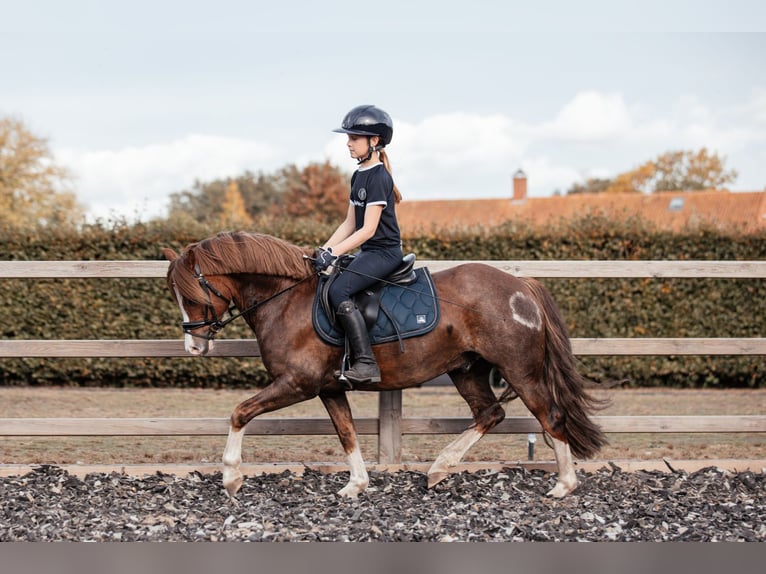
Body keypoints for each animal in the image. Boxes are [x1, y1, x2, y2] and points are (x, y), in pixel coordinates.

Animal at [165, 232, 608, 502]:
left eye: (192, 293)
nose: (194, 345)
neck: (286, 299)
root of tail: (521, 287)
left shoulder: (298, 383)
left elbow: (239, 413)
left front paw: (231, 477)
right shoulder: (329, 388)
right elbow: (346, 433)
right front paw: (356, 485)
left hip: (520, 370)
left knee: (551, 416)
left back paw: (563, 486)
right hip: (467, 369)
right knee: (490, 413)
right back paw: (439, 468)